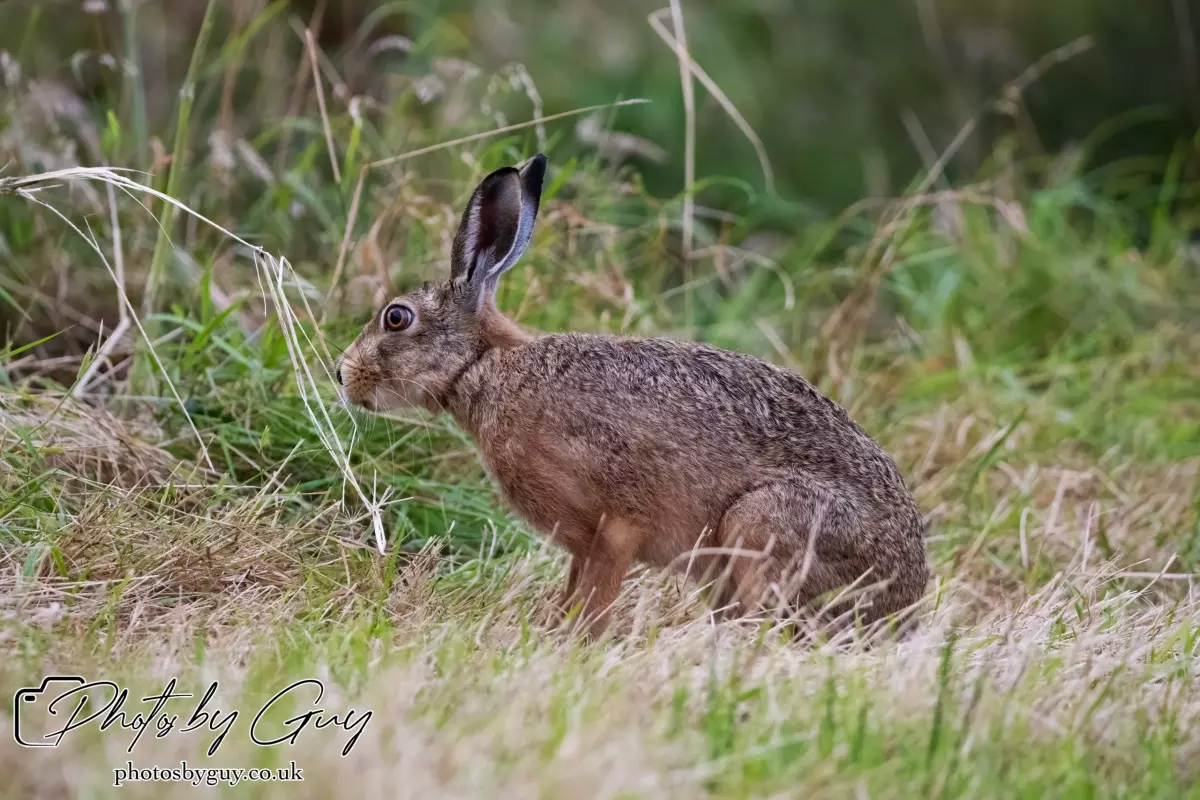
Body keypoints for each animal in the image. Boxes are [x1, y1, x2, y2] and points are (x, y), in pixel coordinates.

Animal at [337, 154, 930, 638]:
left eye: (396, 318)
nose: (342, 374)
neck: (484, 366)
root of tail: (905, 601)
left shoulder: (614, 528)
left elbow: (595, 600)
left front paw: (575, 646)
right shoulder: (581, 545)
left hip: (766, 523)